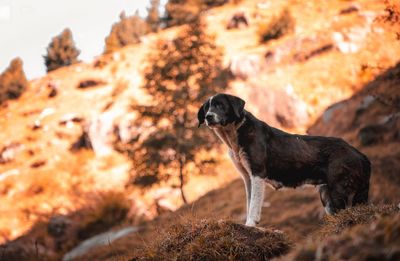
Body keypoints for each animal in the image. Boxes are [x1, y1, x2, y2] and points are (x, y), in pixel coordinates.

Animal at [198, 93, 370, 225]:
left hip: (338, 190)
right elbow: (249, 202)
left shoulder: (257, 174)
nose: (208, 117)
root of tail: (359, 153)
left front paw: (251, 224)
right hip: (327, 195)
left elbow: (254, 205)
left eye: (220, 105)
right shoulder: (247, 178)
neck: (235, 134)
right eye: (207, 108)